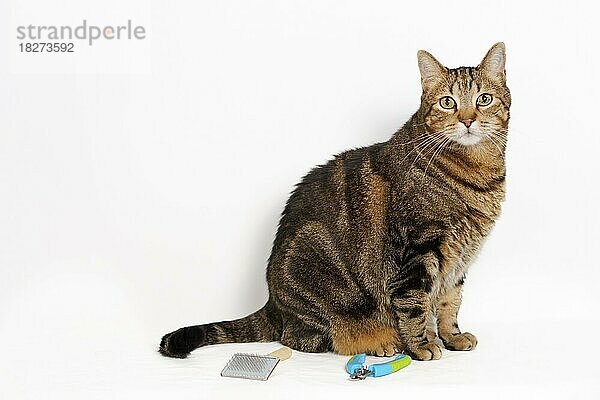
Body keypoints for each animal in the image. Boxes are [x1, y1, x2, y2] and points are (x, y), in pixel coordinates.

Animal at [157, 42, 508, 360]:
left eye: (484, 99)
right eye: (447, 102)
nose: (467, 120)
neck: (477, 173)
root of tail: (272, 303)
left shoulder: (458, 258)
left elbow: (450, 301)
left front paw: (451, 336)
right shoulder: (417, 249)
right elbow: (414, 305)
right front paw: (422, 345)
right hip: (319, 278)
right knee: (308, 338)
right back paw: (378, 340)